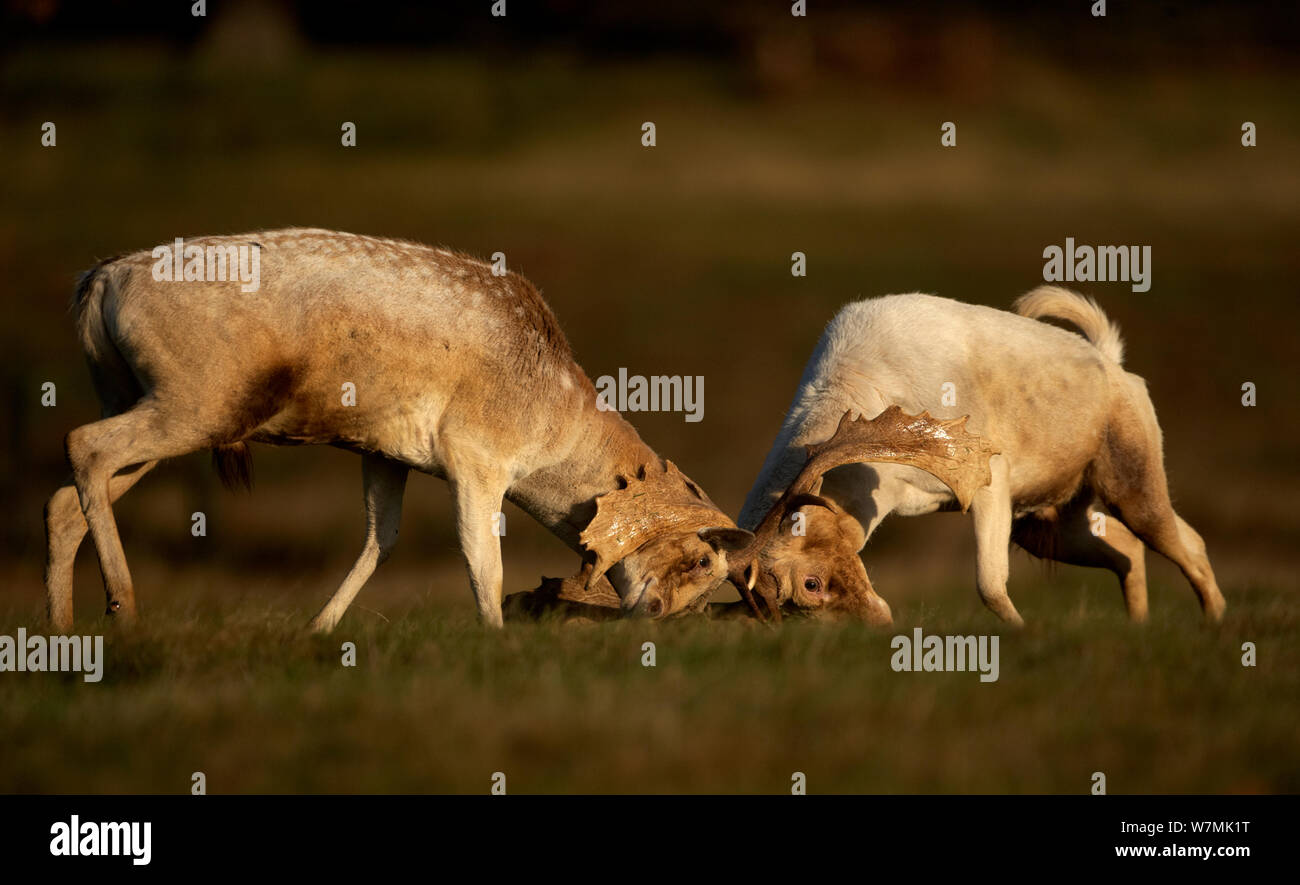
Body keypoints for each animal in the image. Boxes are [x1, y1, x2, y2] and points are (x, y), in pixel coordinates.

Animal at [43, 227, 754, 628]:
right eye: (700, 559)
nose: (654, 616)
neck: (550, 419)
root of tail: (100, 279)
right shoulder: (476, 460)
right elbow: (483, 565)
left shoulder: (385, 454)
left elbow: (380, 540)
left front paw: (316, 632)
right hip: (198, 403)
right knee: (82, 445)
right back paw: (124, 609)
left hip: (144, 399)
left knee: (64, 500)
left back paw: (63, 632)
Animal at [728, 285, 1222, 623]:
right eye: (788, 610)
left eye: (811, 583)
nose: (879, 624)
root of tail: (1113, 363)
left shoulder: (989, 480)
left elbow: (990, 584)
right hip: (1046, 521)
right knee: (1127, 550)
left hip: (1132, 482)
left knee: (1186, 542)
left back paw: (1216, 627)